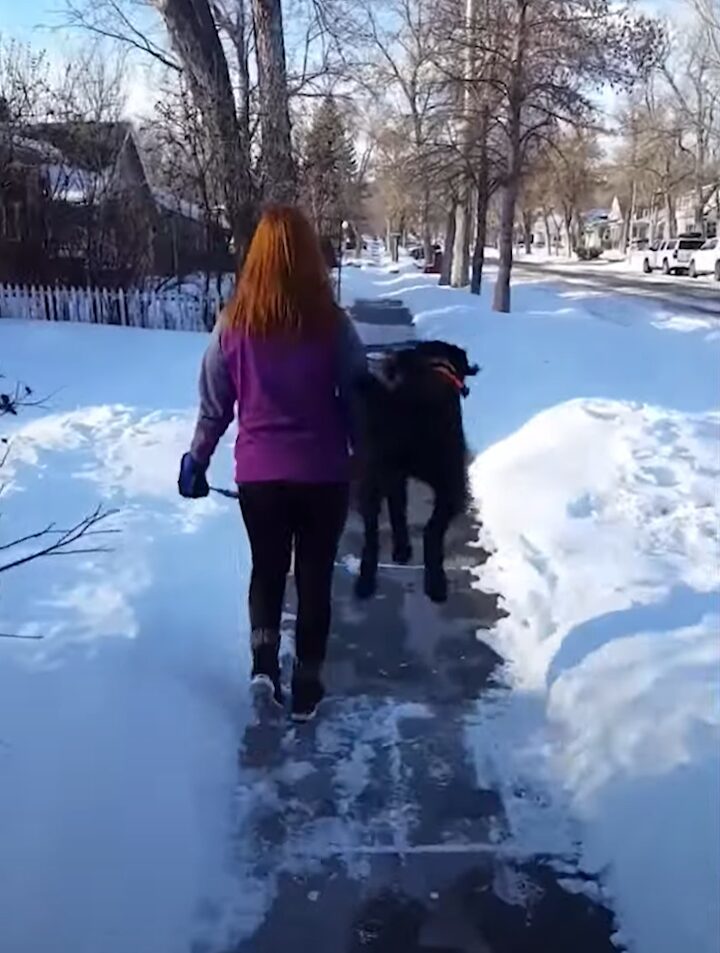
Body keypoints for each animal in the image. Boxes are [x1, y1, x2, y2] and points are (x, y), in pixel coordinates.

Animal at [352, 338, 478, 600]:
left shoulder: (397, 476)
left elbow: (400, 512)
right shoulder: (453, 484)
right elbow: (433, 530)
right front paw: (435, 579)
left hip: (376, 473)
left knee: (372, 530)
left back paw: (367, 579)